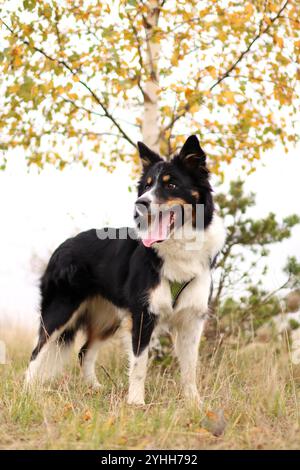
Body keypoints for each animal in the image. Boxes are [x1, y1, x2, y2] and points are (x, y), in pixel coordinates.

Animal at [26, 135, 225, 404]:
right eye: (147, 186)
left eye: (171, 184)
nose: (141, 203)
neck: (179, 245)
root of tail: (64, 245)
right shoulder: (143, 314)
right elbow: (140, 365)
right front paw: (136, 402)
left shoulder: (192, 319)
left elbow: (190, 368)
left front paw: (194, 403)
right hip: (60, 310)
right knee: (36, 352)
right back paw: (26, 392)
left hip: (107, 317)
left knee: (84, 352)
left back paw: (94, 388)